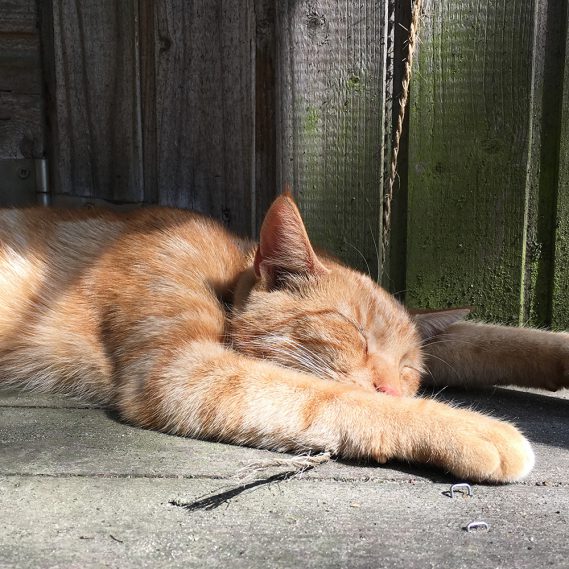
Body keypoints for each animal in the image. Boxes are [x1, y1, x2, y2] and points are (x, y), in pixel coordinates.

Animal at [0, 194, 564, 480]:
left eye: (409, 366)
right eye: (351, 331)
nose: (392, 384)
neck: (224, 275)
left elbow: (489, 338)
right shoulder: (182, 370)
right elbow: (335, 398)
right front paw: (471, 429)